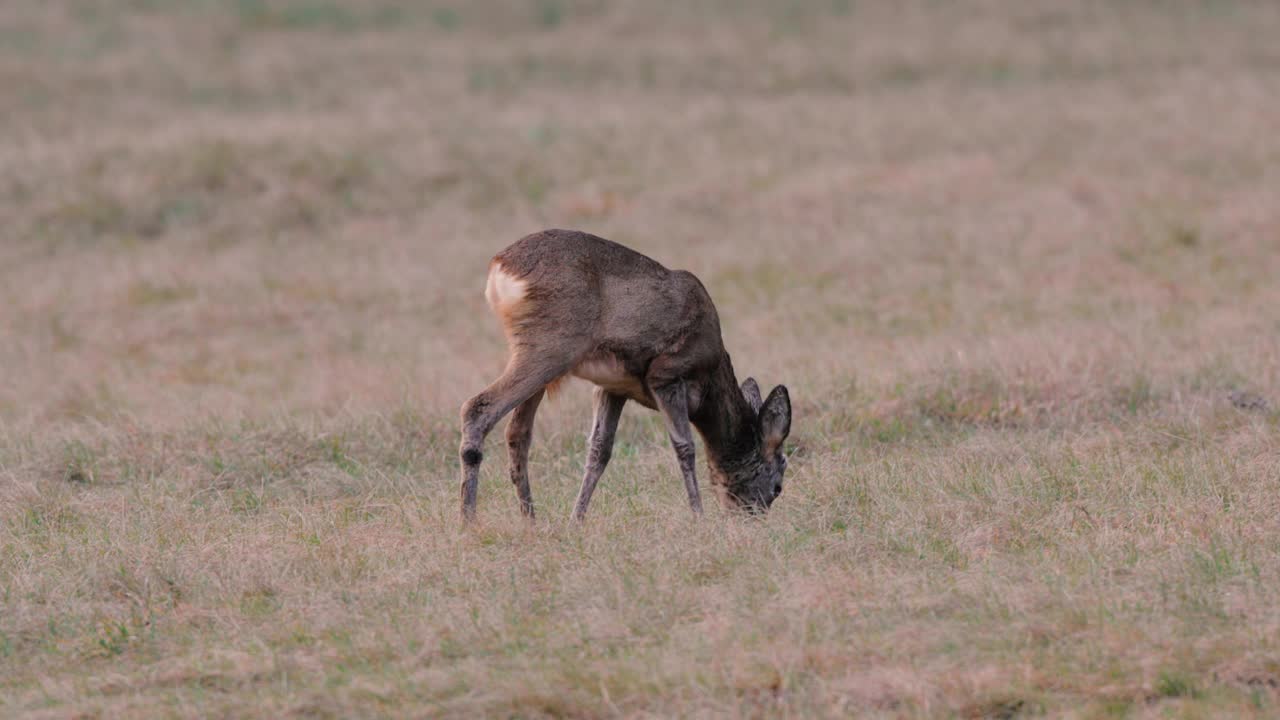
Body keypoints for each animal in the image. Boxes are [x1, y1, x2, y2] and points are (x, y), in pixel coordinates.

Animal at [460, 230, 788, 520]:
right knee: (477, 408)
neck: (710, 381)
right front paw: (699, 517)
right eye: (778, 486)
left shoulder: (613, 388)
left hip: (537, 356)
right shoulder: (667, 374)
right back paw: (469, 522)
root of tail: (500, 266)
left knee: (517, 433)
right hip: (550, 347)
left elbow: (599, 451)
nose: (752, 518)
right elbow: (684, 446)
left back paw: (531, 521)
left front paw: (576, 520)